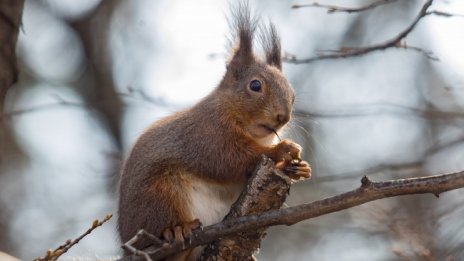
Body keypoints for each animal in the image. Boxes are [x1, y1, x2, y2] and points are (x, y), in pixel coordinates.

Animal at [117, 4, 312, 260]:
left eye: (293, 96)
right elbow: (227, 158)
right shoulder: (208, 133)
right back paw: (176, 230)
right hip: (159, 195)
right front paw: (281, 149)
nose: (283, 117)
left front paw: (299, 168)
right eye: (255, 85)